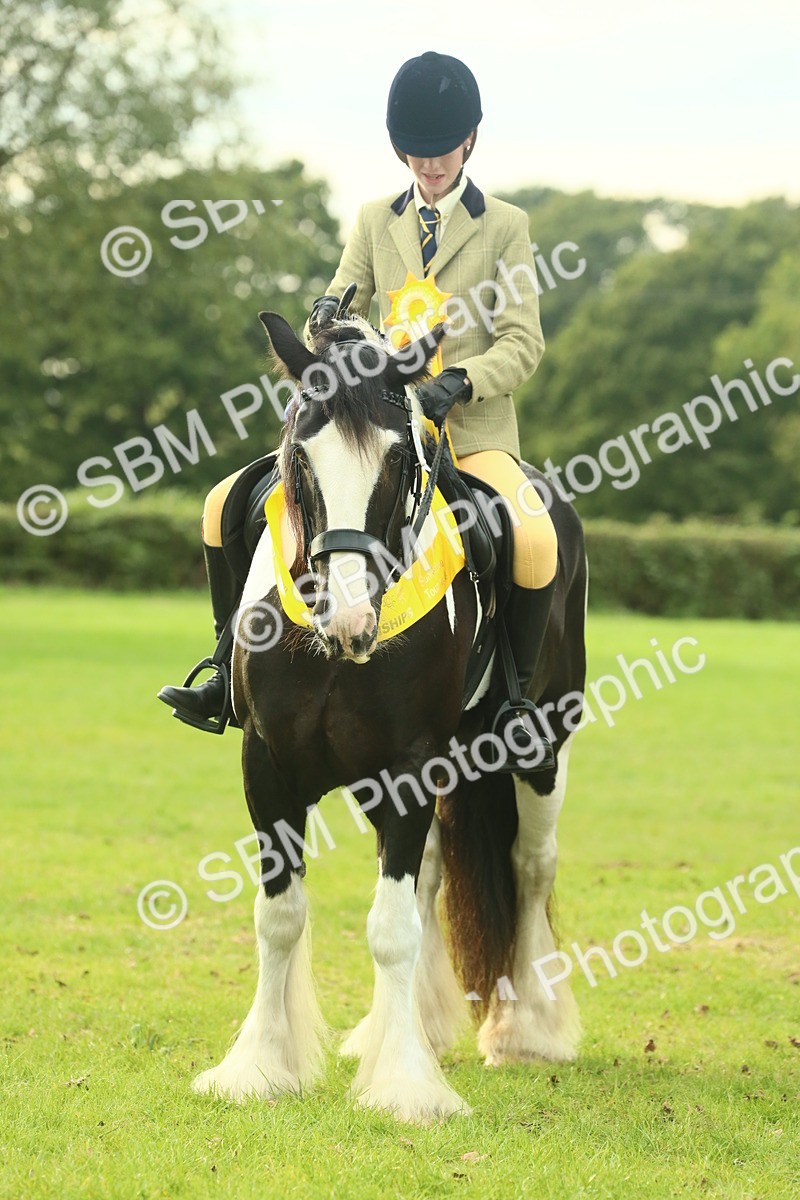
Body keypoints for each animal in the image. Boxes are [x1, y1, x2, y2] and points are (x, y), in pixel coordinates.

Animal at [190, 308, 587, 1122]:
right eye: (299, 456)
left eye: (401, 459)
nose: (348, 621)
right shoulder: (267, 764)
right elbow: (280, 916)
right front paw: (259, 1066)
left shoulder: (409, 766)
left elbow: (391, 926)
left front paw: (405, 1085)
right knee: (433, 870)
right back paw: (421, 1024)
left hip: (544, 746)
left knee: (531, 867)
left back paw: (526, 1029)